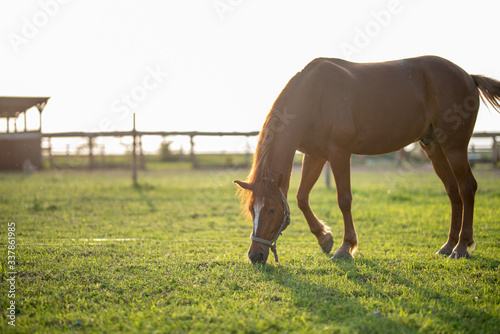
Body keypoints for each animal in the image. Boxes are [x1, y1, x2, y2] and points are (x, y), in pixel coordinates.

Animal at [233, 55, 500, 264]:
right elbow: (301, 197)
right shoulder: (315, 155)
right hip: (434, 147)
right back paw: (448, 245)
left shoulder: (339, 153)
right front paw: (324, 237)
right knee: (453, 192)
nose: (255, 255)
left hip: (454, 147)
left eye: (271, 210)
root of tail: (467, 76)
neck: (315, 96)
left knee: (467, 188)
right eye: (252, 209)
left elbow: (344, 200)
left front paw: (345, 247)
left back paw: (462, 246)